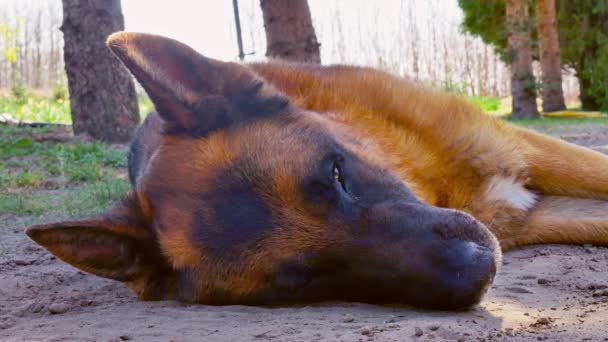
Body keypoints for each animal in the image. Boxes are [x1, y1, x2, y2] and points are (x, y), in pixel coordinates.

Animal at [26, 32, 608, 310]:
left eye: (335, 173)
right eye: (299, 282)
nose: (478, 268)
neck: (438, 184)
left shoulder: (531, 151)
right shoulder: (534, 216)